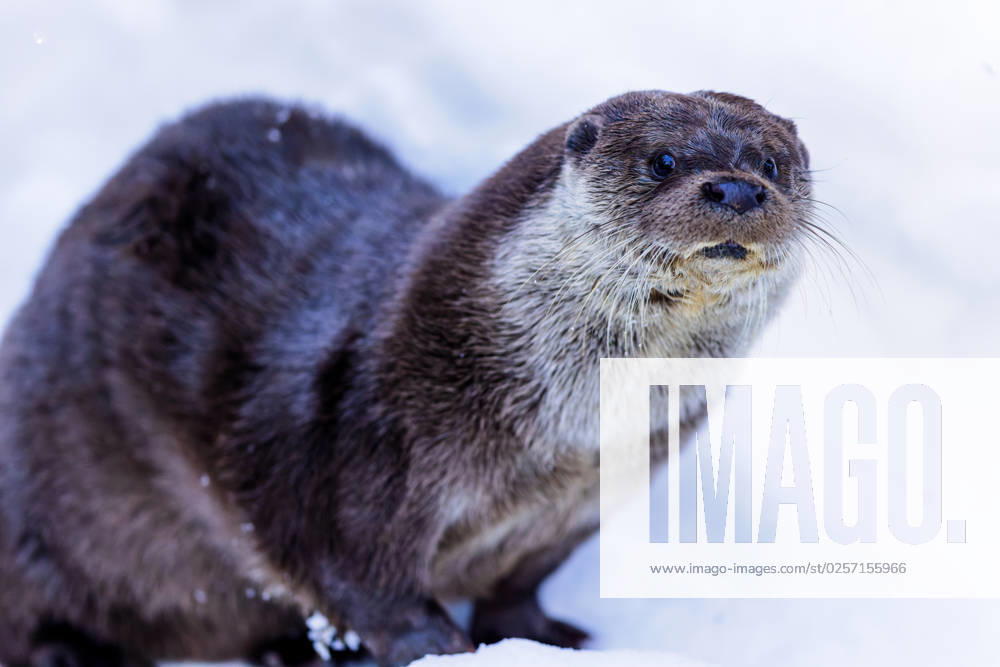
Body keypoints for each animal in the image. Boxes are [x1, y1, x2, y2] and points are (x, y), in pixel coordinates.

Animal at [0, 90, 812, 666]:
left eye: (771, 165)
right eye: (664, 160)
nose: (736, 189)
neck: (563, 438)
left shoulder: (590, 495)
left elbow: (518, 583)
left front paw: (542, 637)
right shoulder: (359, 440)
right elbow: (357, 573)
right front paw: (443, 650)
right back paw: (75, 652)